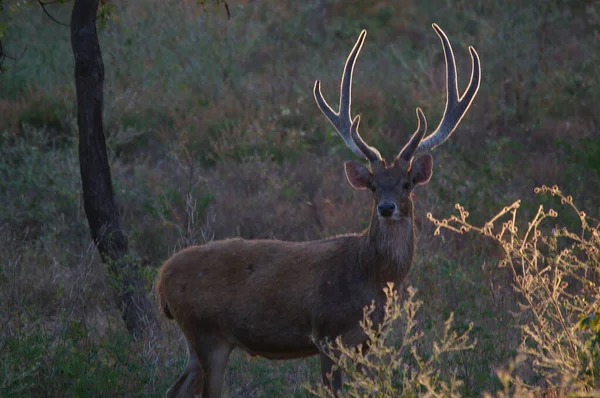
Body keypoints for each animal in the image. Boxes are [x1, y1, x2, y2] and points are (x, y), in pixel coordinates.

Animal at [156, 24, 482, 398]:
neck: (370, 275)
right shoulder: (328, 334)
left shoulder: (366, 341)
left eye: (406, 184)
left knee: (176, 388)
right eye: (373, 185)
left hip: (198, 341)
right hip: (207, 333)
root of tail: (160, 280)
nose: (386, 208)